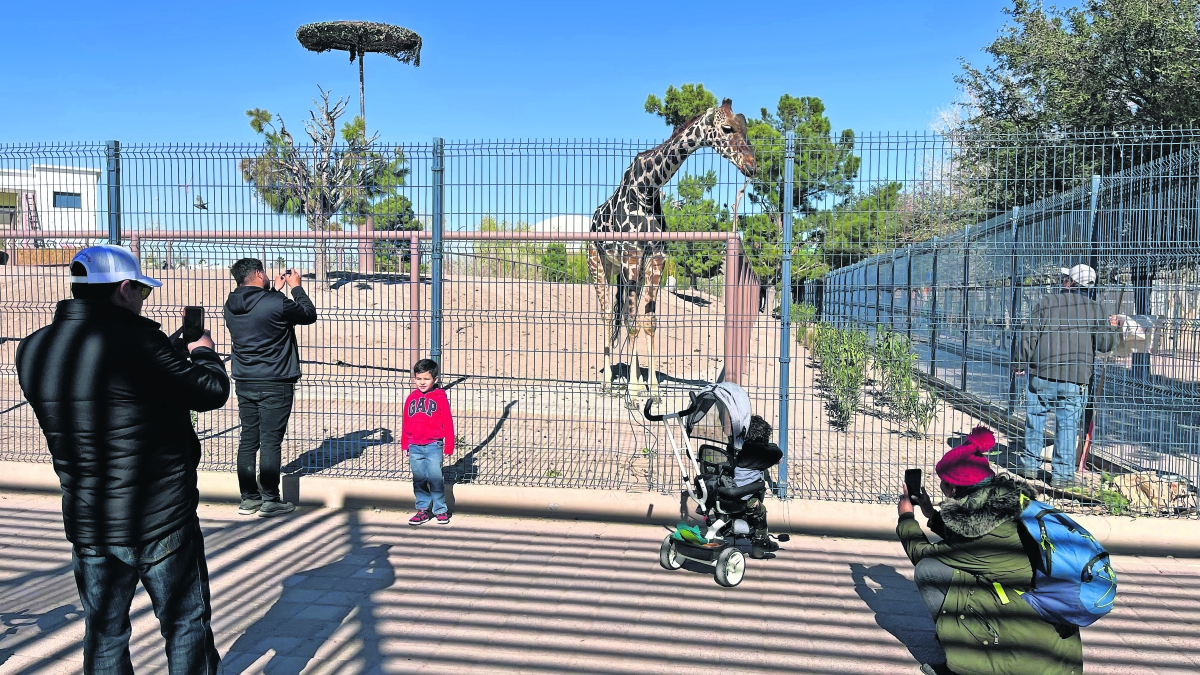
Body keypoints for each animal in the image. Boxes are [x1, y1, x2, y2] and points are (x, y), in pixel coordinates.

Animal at [585, 98, 753, 398]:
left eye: (746, 129)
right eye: (727, 128)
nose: (752, 166)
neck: (648, 188)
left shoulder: (656, 257)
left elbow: (648, 322)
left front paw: (651, 389)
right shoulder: (632, 254)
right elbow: (632, 321)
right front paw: (633, 391)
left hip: (624, 271)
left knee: (623, 314)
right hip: (598, 263)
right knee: (606, 315)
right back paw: (607, 382)